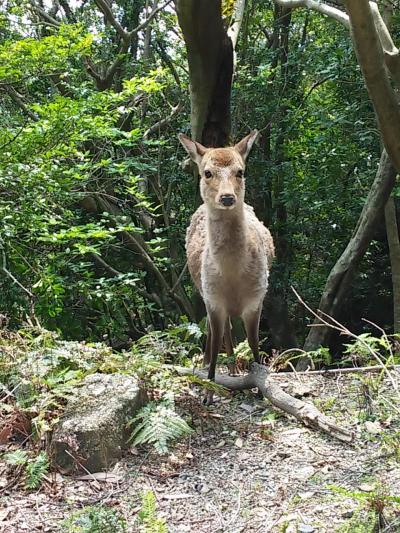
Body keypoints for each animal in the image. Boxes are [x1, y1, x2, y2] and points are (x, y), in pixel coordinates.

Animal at [178, 131, 276, 402]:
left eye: (240, 171)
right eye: (207, 172)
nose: (227, 197)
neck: (233, 277)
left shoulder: (256, 297)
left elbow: (254, 344)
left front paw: (259, 388)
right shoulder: (213, 299)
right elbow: (214, 342)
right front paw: (208, 393)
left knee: (229, 331)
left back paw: (233, 370)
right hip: (202, 290)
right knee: (217, 333)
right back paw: (210, 367)